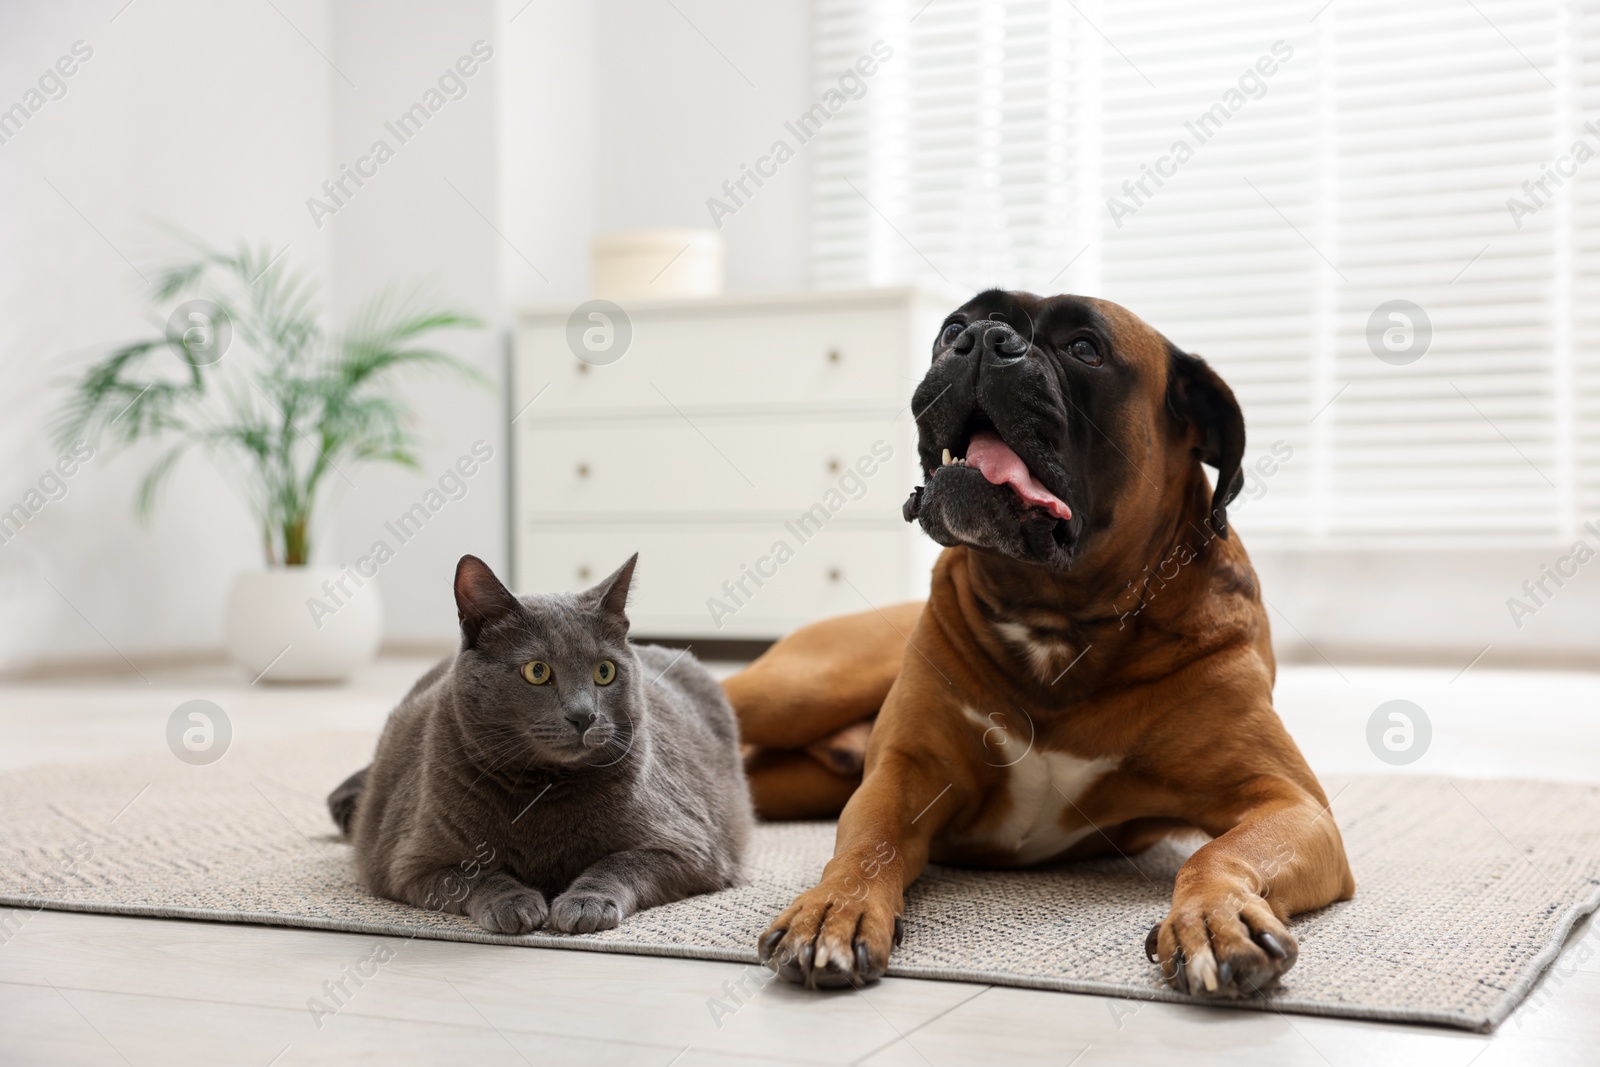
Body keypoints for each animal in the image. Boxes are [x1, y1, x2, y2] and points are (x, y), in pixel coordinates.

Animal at [328, 556, 752, 927]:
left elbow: (621, 862)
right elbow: (473, 875)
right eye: (537, 671)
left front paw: (586, 902)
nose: (584, 715)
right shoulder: (407, 862)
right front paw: (512, 902)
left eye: (605, 671)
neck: (543, 789)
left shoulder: (690, 845)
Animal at [732, 292, 1356, 1004]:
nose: (982, 338)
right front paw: (832, 908)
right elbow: (867, 842)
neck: (1058, 620)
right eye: (953, 325)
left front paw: (1216, 918)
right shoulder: (902, 774)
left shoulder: (1286, 802)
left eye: (1086, 348)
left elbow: (1218, 852)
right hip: (799, 691)